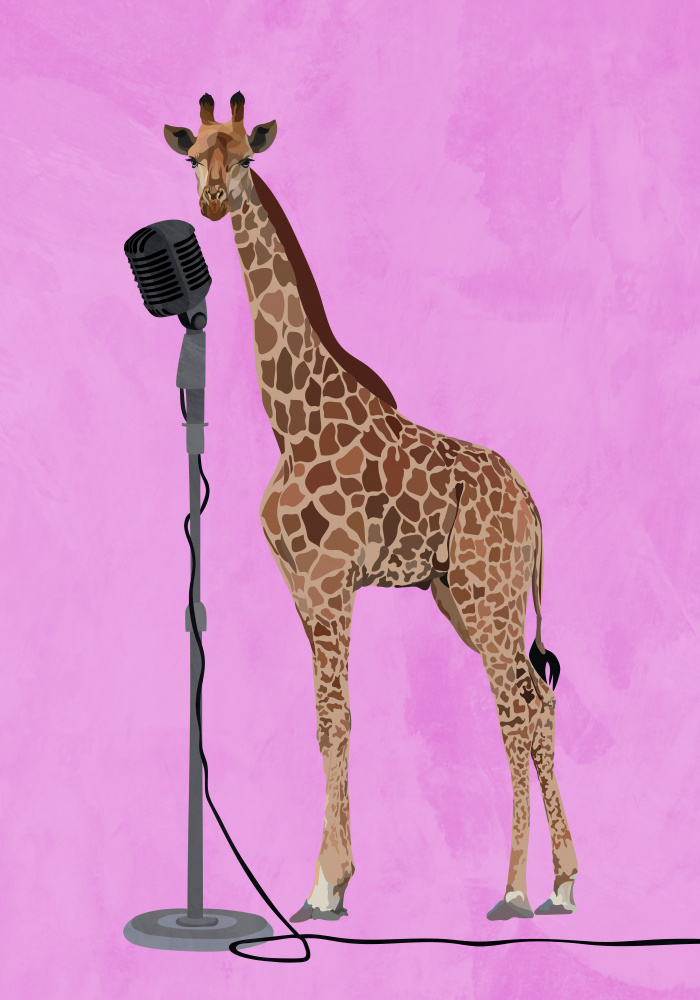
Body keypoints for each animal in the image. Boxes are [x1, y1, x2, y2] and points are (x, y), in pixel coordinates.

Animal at [164, 92, 578, 923]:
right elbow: (326, 719)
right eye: (193, 156)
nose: (214, 202)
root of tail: (532, 504)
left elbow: (336, 718)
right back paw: (564, 884)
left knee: (515, 711)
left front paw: (325, 885)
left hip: (490, 596)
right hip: (464, 596)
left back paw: (515, 889)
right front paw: (331, 881)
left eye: (247, 157)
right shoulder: (301, 585)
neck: (291, 418)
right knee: (538, 700)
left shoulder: (331, 581)